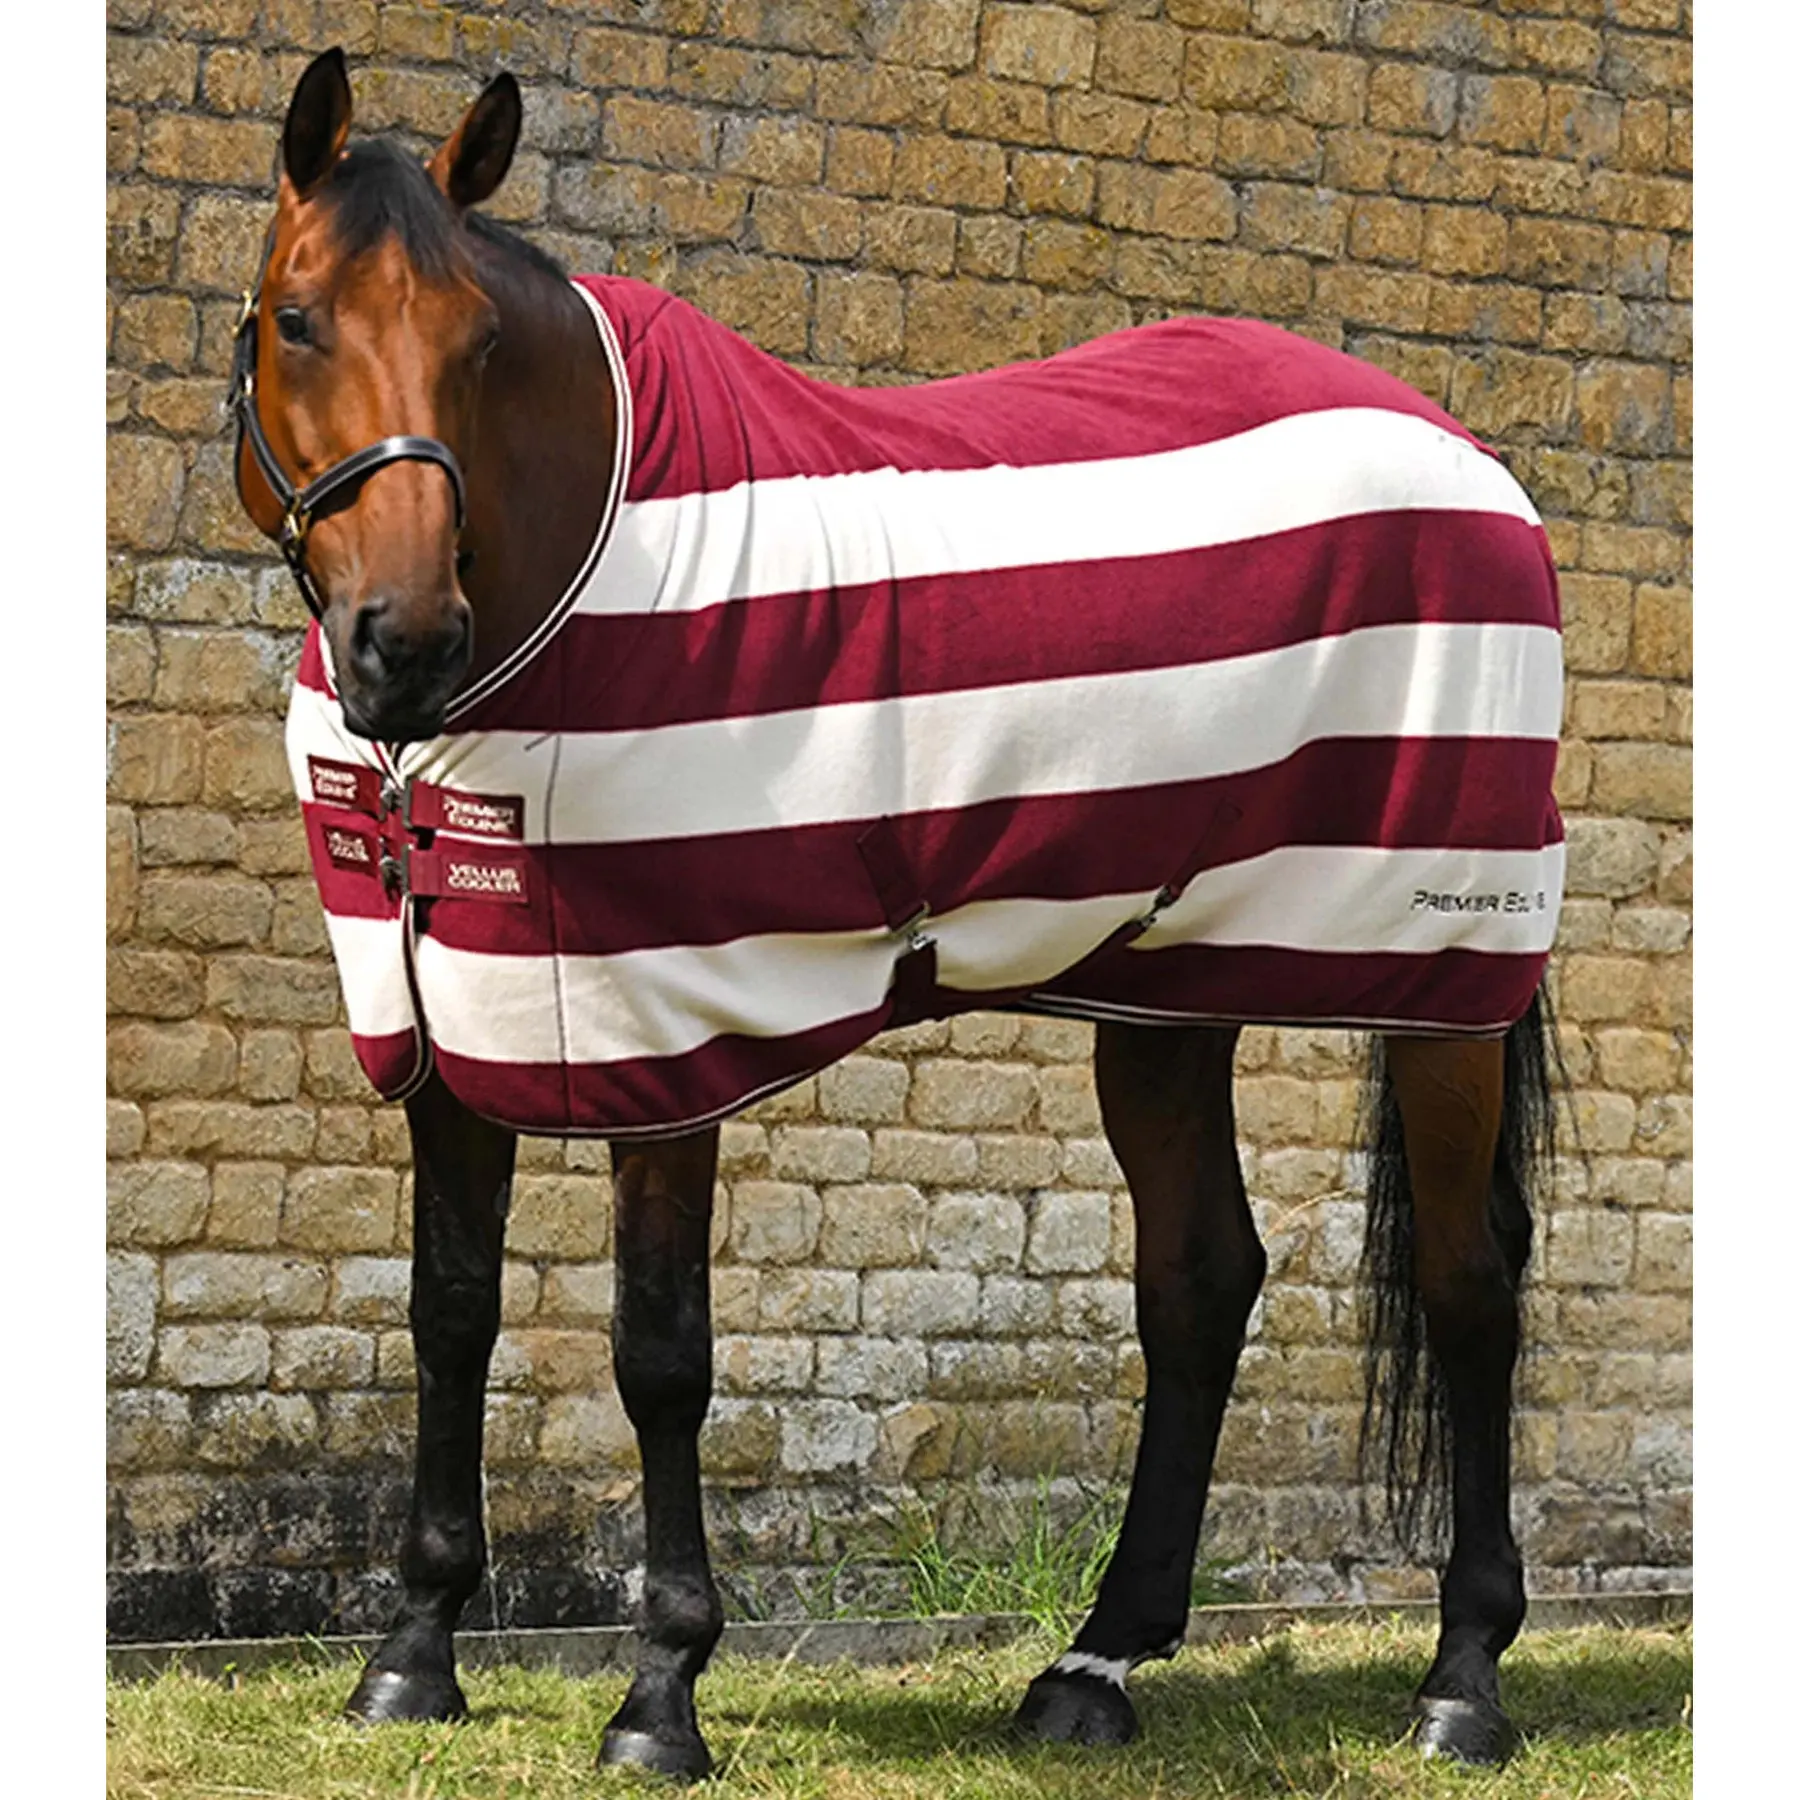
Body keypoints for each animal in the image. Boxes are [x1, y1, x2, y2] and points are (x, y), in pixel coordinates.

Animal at [229, 49, 1565, 1779]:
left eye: (482, 343)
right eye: (297, 319)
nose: (404, 644)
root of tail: (1467, 460)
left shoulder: (667, 1028)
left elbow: (659, 1354)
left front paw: (660, 1692)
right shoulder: (448, 1021)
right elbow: (448, 1313)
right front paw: (411, 1655)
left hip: (1437, 974)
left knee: (1470, 1284)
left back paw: (1463, 1679)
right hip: (1167, 981)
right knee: (1201, 1279)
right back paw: (1095, 1665)